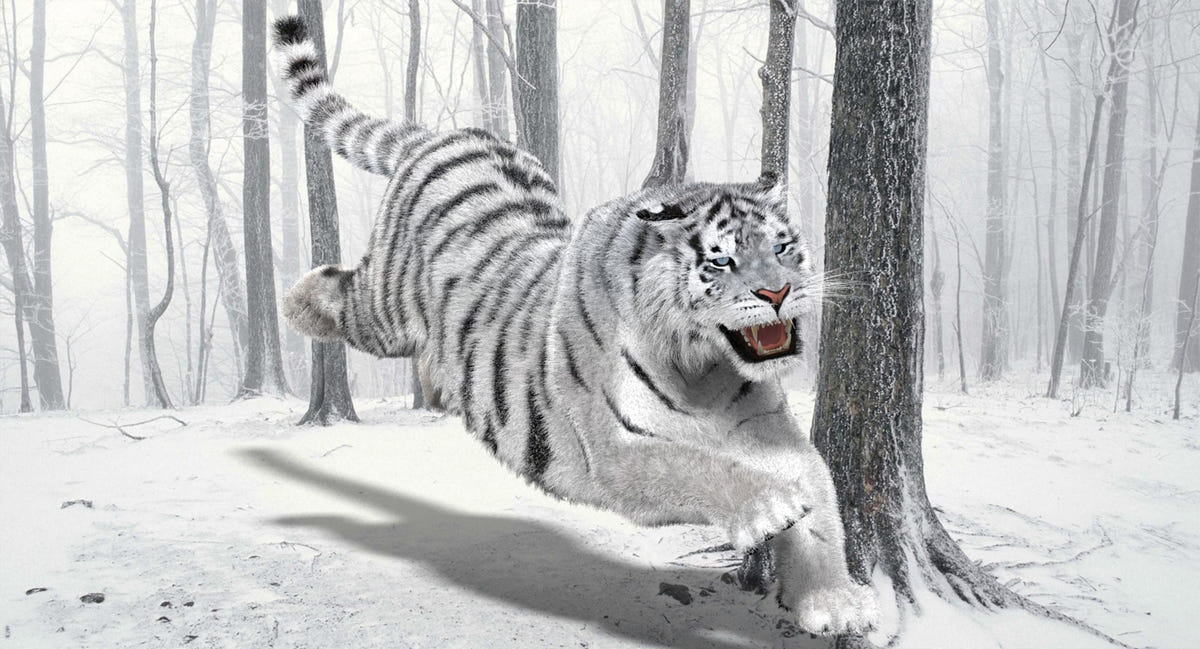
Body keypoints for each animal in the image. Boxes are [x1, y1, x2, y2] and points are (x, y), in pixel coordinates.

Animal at [273, 16, 878, 636]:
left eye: (782, 248)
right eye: (721, 261)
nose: (777, 293)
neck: (703, 367)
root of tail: (444, 135)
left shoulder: (769, 429)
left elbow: (822, 499)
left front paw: (835, 601)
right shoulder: (611, 450)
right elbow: (694, 465)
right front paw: (769, 508)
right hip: (387, 307)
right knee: (345, 294)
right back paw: (294, 301)